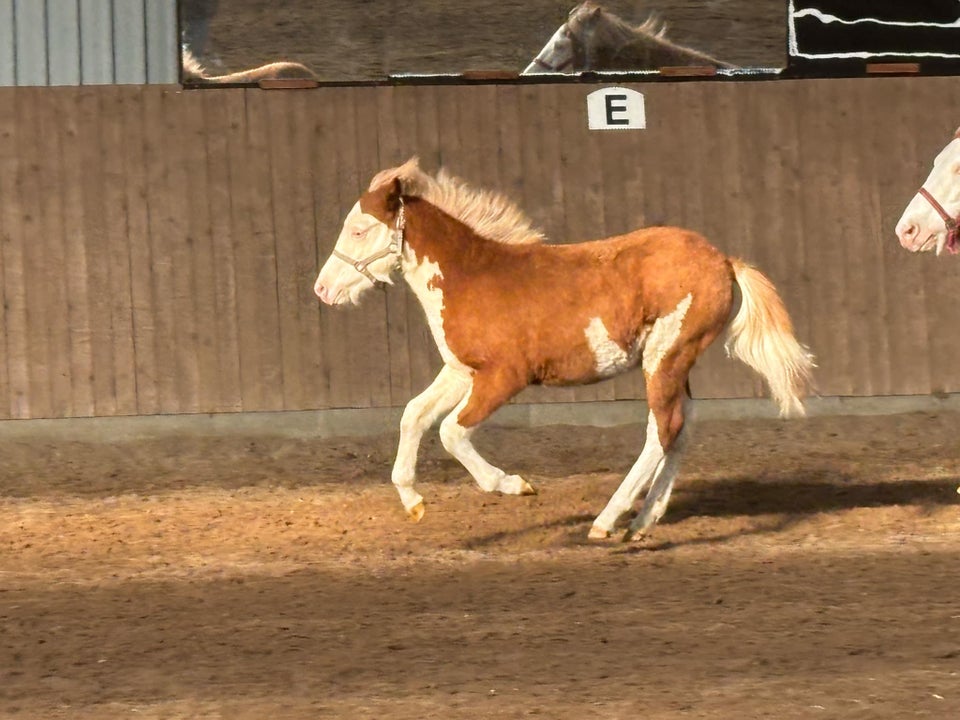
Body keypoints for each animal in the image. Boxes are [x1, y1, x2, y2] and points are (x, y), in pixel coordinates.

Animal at [314, 159, 808, 540]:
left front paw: (513, 485)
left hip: (666, 356)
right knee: (678, 430)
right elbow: (413, 415)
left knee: (663, 431)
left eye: (358, 230)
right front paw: (413, 501)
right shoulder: (460, 371)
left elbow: (451, 431)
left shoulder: (504, 377)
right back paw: (641, 523)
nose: (322, 289)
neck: (471, 277)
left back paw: (607, 522)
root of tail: (723, 261)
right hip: (673, 362)